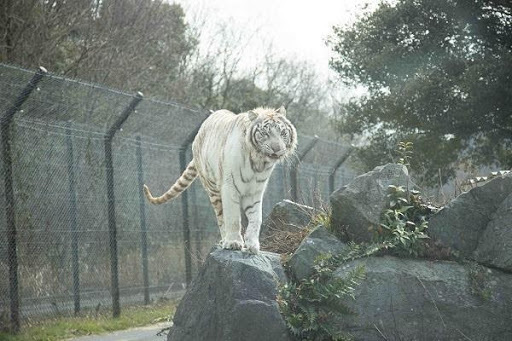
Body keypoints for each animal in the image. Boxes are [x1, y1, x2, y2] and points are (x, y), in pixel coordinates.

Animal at [142, 105, 298, 252]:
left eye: (283, 133)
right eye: (265, 133)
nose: (277, 149)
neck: (259, 163)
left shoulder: (255, 191)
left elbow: (256, 218)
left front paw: (252, 245)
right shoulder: (229, 186)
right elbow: (233, 217)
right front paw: (234, 242)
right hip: (213, 189)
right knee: (221, 217)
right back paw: (225, 240)